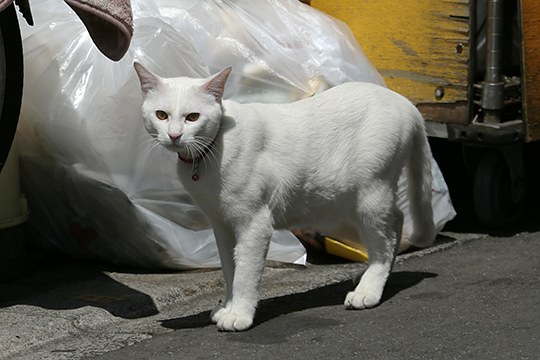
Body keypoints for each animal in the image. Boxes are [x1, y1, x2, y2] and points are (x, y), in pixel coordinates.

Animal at [133, 62, 436, 332]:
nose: (174, 135)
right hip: (342, 208)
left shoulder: (254, 225)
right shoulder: (222, 226)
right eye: (161, 115)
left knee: (387, 236)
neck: (213, 149)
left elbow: (245, 273)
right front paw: (228, 307)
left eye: (192, 117)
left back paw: (369, 289)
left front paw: (239, 314)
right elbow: (230, 270)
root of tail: (405, 103)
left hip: (369, 197)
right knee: (395, 224)